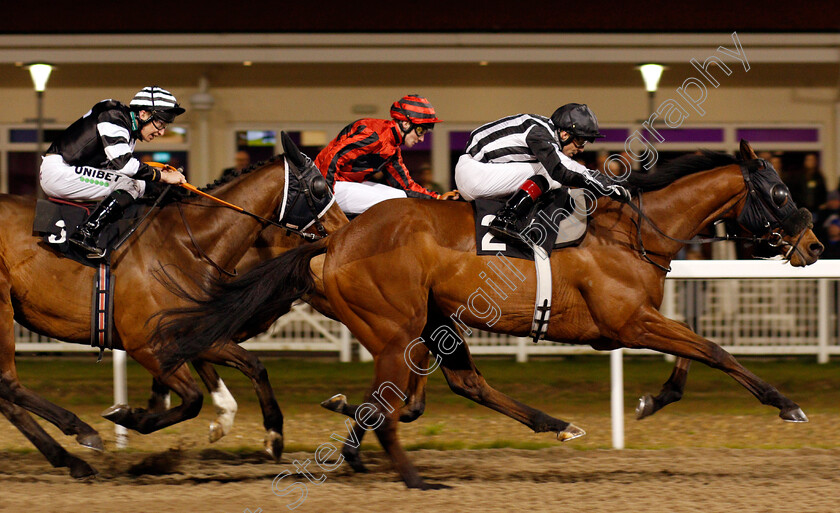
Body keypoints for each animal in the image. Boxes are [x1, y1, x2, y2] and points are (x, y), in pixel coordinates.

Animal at [0, 138, 348, 478]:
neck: (187, 244)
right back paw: (82, 432)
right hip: (4, 308)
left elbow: (253, 365)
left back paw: (70, 458)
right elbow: (193, 399)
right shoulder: (146, 344)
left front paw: (273, 436)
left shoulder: (195, 330)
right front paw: (130, 415)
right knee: (8, 384)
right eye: (320, 187)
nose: (346, 231)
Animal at [156, 141, 820, 488]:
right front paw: (786, 403)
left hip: (430, 318)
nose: (813, 245)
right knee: (393, 397)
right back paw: (404, 469)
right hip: (396, 327)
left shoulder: (637, 319)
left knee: (452, 384)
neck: (634, 231)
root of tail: (335, 239)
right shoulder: (627, 322)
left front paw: (652, 400)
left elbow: (690, 359)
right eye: (781, 192)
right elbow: (713, 350)